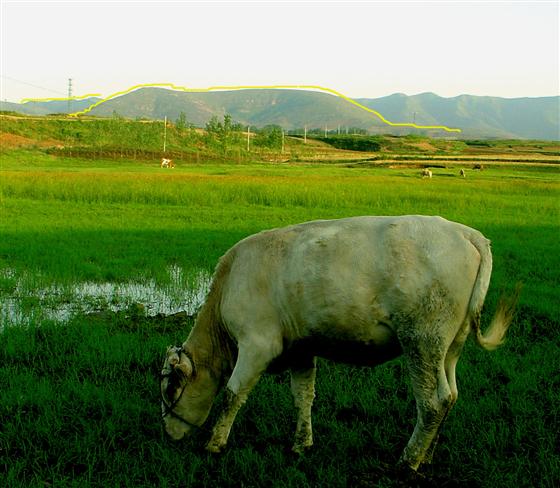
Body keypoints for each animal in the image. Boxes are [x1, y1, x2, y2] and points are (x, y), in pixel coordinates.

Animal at [160, 215, 520, 470]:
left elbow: (232, 396)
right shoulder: (301, 349)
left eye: (170, 389)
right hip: (449, 348)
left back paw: (409, 460)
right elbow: (303, 397)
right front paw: (301, 444)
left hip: (422, 340)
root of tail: (465, 233)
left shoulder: (256, 345)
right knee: (451, 395)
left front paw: (214, 444)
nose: (168, 434)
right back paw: (427, 455)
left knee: (433, 402)